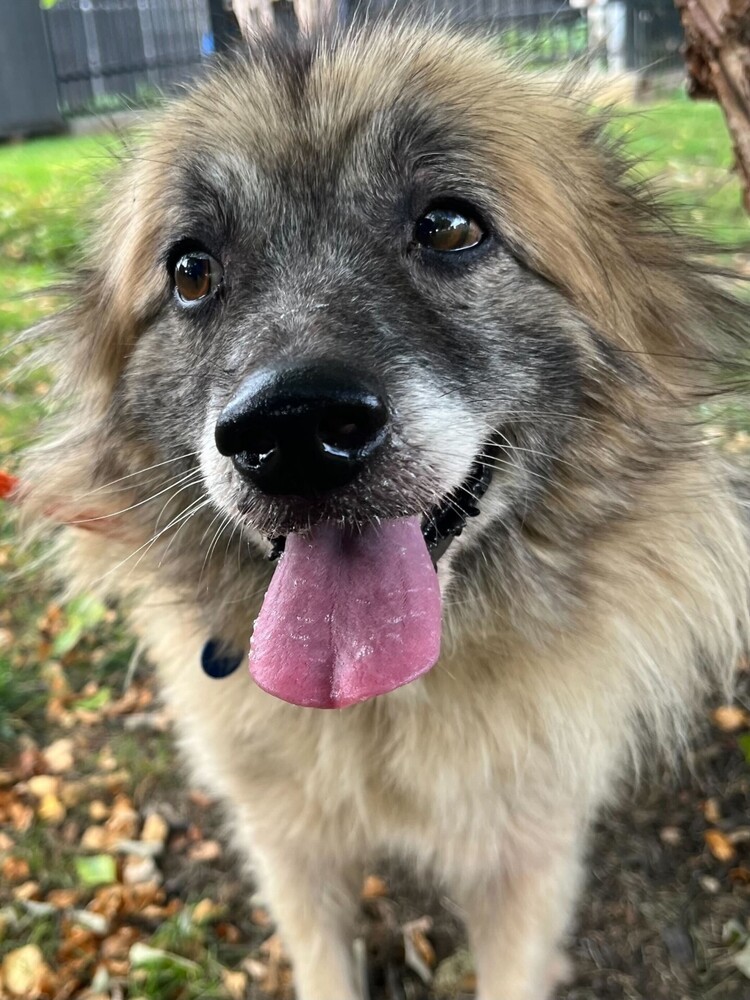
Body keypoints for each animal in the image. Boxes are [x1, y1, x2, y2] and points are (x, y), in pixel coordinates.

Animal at [22, 23, 750, 1000]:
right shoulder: (289, 850)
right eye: (191, 271)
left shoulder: (525, 856)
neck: (382, 702)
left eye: (449, 226)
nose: (290, 431)